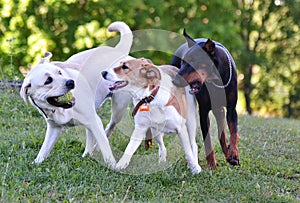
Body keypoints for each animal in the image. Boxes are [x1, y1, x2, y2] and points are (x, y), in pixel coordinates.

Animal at [20, 21, 133, 167]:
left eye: (59, 72)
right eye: (48, 80)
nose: (70, 82)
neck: (60, 110)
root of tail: (118, 51)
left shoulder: (94, 120)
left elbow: (105, 147)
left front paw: (112, 165)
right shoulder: (54, 128)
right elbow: (44, 149)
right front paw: (36, 163)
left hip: (118, 108)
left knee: (111, 126)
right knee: (92, 135)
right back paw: (88, 154)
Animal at [171, 30, 239, 169]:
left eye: (193, 62)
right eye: (183, 62)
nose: (174, 81)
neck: (217, 80)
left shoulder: (231, 109)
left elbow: (234, 132)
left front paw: (234, 154)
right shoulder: (203, 111)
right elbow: (208, 142)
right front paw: (212, 164)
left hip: (219, 110)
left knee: (221, 134)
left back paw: (228, 153)